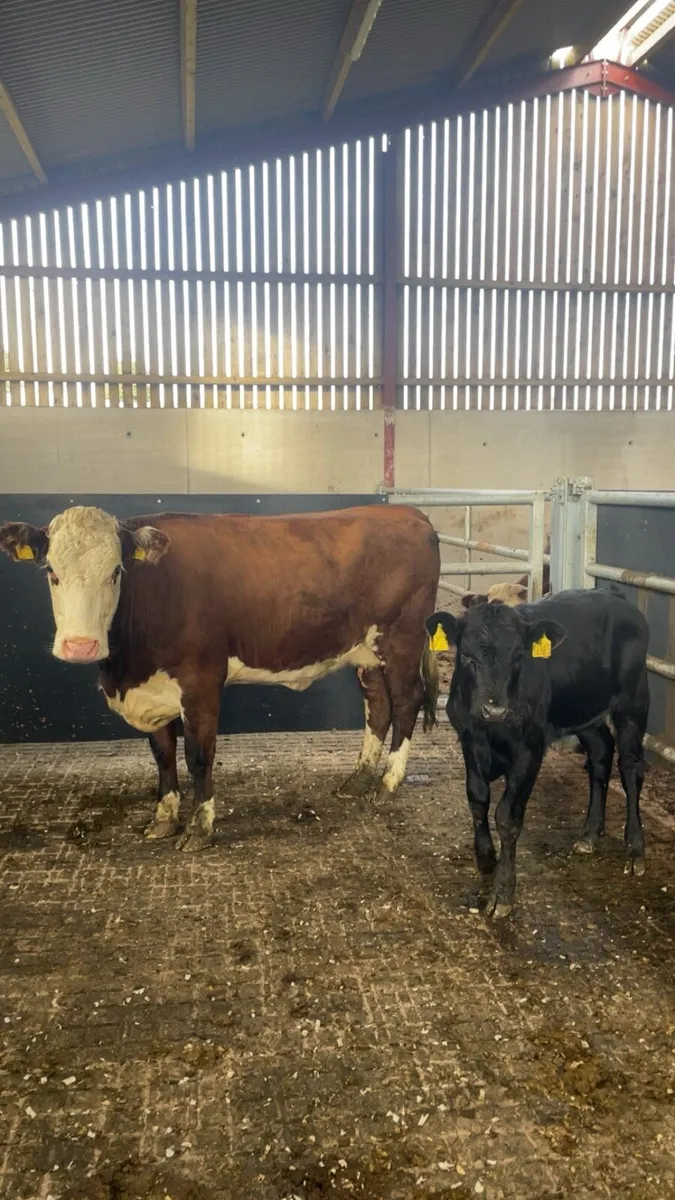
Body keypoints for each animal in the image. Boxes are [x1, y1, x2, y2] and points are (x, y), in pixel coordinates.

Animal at [0, 504, 440, 851]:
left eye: (116, 571)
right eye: (51, 571)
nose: (80, 645)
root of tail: (408, 513)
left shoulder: (201, 682)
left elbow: (198, 756)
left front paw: (200, 827)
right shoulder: (153, 691)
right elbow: (162, 755)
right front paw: (163, 818)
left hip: (402, 639)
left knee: (406, 702)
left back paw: (387, 785)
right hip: (366, 652)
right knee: (377, 707)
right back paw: (358, 780)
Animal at [425, 589, 649, 917]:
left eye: (519, 656)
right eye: (466, 655)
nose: (495, 710)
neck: (492, 731)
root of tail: (611, 593)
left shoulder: (529, 749)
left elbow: (507, 816)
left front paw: (502, 893)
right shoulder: (468, 739)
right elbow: (477, 800)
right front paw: (486, 858)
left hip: (632, 702)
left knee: (631, 767)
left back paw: (635, 848)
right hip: (584, 712)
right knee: (601, 755)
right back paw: (589, 835)